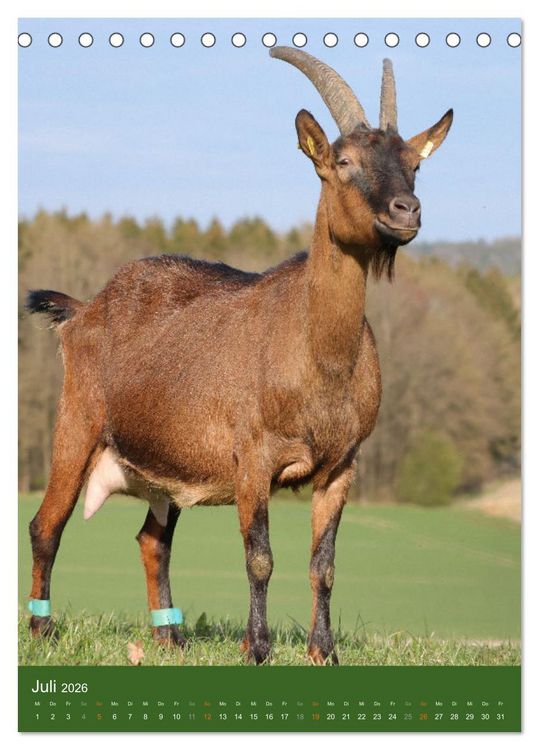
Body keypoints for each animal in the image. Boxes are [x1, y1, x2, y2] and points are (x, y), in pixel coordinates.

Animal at [25, 47, 452, 665]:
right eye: (343, 160)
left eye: (414, 164)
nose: (407, 210)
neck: (318, 356)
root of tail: (85, 309)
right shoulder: (253, 457)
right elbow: (260, 557)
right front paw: (258, 649)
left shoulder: (342, 465)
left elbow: (323, 565)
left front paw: (323, 652)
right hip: (76, 423)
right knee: (46, 525)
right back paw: (43, 629)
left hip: (165, 465)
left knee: (152, 540)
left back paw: (171, 637)